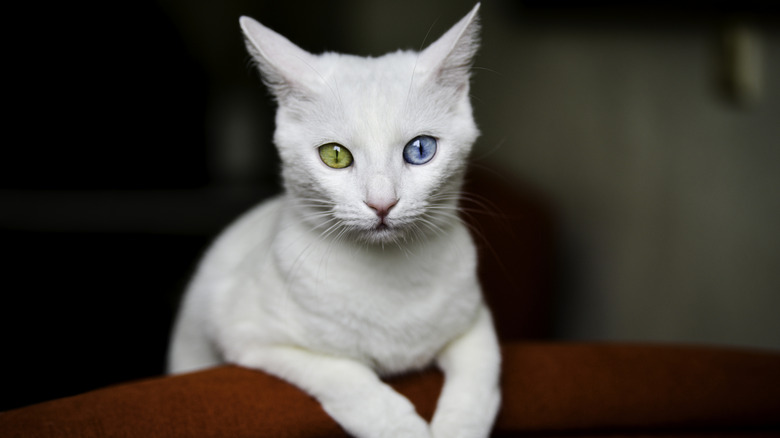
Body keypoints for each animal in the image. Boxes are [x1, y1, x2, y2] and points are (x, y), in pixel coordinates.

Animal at [168, 3, 502, 438]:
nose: (382, 203)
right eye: (336, 155)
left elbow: (479, 380)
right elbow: (346, 376)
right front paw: (399, 425)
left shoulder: (476, 324)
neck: (388, 282)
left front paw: (456, 427)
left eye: (420, 149)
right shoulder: (252, 338)